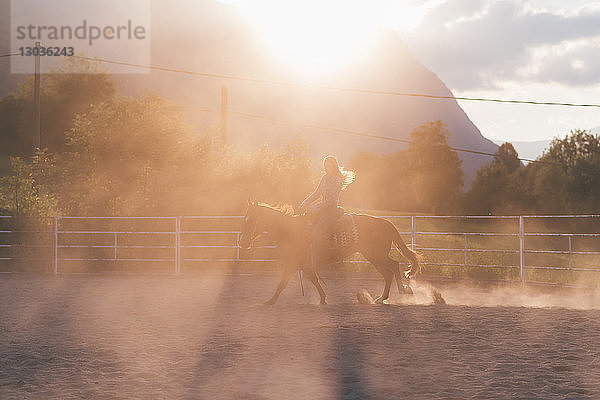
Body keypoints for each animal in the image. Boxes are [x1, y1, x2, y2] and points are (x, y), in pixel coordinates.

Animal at [239, 202, 422, 304]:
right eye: (244, 220)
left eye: (252, 220)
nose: (242, 242)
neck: (291, 230)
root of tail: (385, 222)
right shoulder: (304, 264)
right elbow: (313, 279)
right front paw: (322, 299)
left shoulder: (294, 262)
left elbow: (282, 283)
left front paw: (270, 301)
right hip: (374, 256)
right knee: (391, 269)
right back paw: (389, 295)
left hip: (376, 255)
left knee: (391, 269)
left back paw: (395, 293)